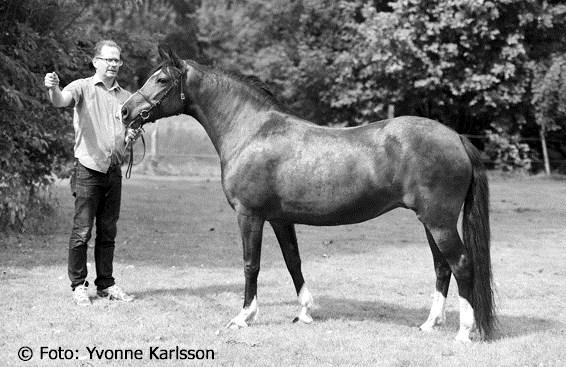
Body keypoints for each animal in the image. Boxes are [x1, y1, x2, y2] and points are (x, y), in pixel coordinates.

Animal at [121, 47, 496, 344]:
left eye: (161, 80)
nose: (125, 112)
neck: (251, 131)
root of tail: (456, 137)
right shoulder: (279, 219)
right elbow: (293, 262)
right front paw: (303, 312)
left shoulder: (249, 215)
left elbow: (251, 264)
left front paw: (243, 317)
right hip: (430, 222)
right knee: (442, 267)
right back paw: (430, 324)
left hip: (439, 221)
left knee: (461, 265)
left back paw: (464, 332)